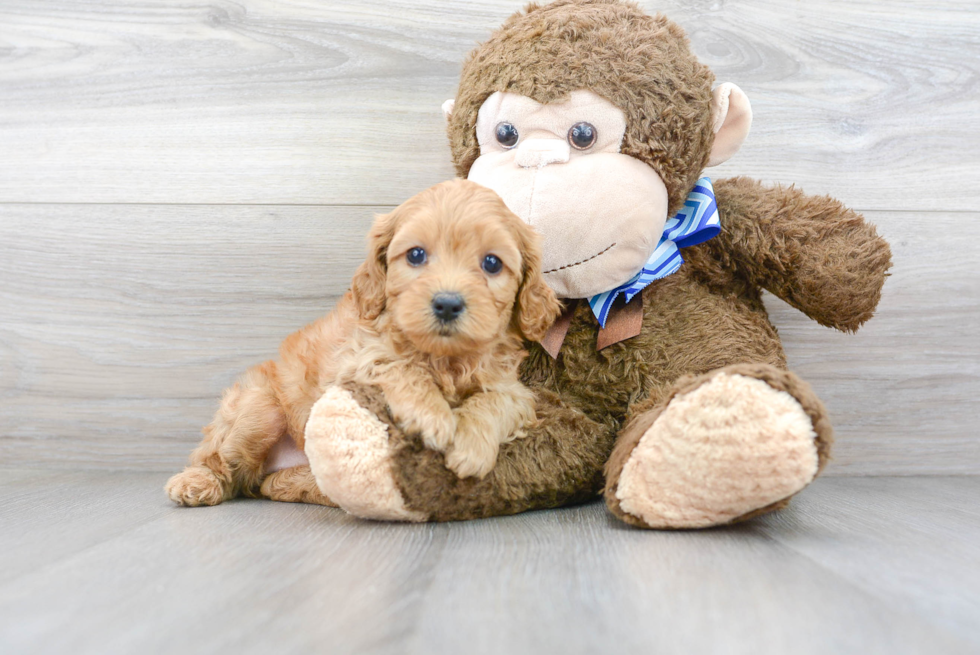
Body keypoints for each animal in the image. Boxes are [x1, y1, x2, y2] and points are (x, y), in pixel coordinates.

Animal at [167, 182, 560, 510]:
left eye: (492, 263)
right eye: (415, 255)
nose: (447, 304)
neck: (444, 358)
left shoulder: (511, 387)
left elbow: (496, 401)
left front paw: (470, 444)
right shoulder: (354, 362)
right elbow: (401, 367)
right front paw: (433, 418)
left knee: (273, 484)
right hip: (258, 409)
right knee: (219, 460)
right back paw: (196, 483)